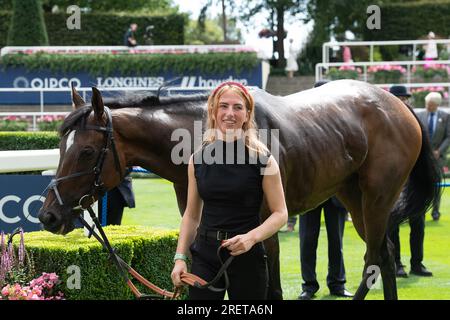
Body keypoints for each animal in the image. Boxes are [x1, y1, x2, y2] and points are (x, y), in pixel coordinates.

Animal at [37, 80, 440, 300]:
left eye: (87, 151)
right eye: (60, 146)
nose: (48, 215)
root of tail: (398, 104)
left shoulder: (264, 230)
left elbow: (271, 289)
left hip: (377, 195)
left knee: (374, 257)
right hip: (351, 194)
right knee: (384, 253)